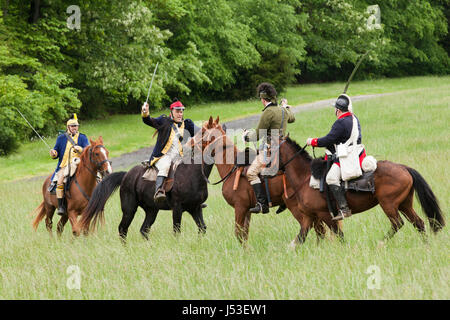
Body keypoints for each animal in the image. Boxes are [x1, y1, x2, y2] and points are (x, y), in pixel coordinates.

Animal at [75, 154, 213, 241]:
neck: (193, 173)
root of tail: (126, 175)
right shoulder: (177, 209)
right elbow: (176, 230)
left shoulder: (195, 208)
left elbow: (202, 228)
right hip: (129, 210)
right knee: (123, 229)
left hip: (152, 211)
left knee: (143, 230)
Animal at [190, 117, 338, 245]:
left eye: (202, 131)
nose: (190, 144)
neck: (232, 166)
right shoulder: (247, 211)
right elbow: (244, 235)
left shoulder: (239, 208)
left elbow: (238, 234)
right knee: (319, 229)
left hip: (296, 206)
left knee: (313, 227)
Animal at [280, 136, 444, 245]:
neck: (305, 178)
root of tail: (403, 168)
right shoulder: (309, 217)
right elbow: (300, 238)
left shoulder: (325, 215)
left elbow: (339, 235)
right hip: (404, 204)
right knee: (419, 223)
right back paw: (426, 245)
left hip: (388, 204)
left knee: (398, 223)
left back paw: (381, 243)